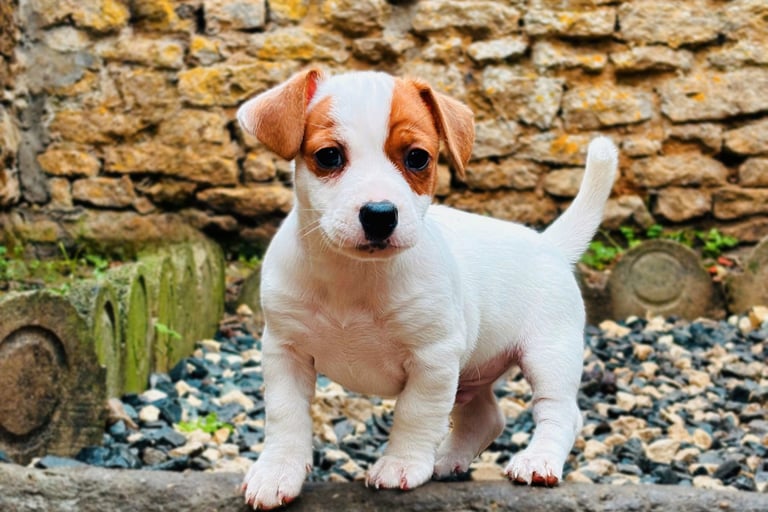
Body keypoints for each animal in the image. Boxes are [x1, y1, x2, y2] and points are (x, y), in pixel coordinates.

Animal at [236, 68, 618, 509]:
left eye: (417, 157)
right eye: (329, 156)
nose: (380, 214)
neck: (354, 276)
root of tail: (548, 243)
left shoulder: (432, 359)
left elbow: (414, 414)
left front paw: (400, 464)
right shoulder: (285, 352)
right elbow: (286, 416)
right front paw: (277, 470)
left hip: (549, 353)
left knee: (561, 412)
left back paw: (538, 461)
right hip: (472, 370)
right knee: (486, 418)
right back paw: (446, 460)